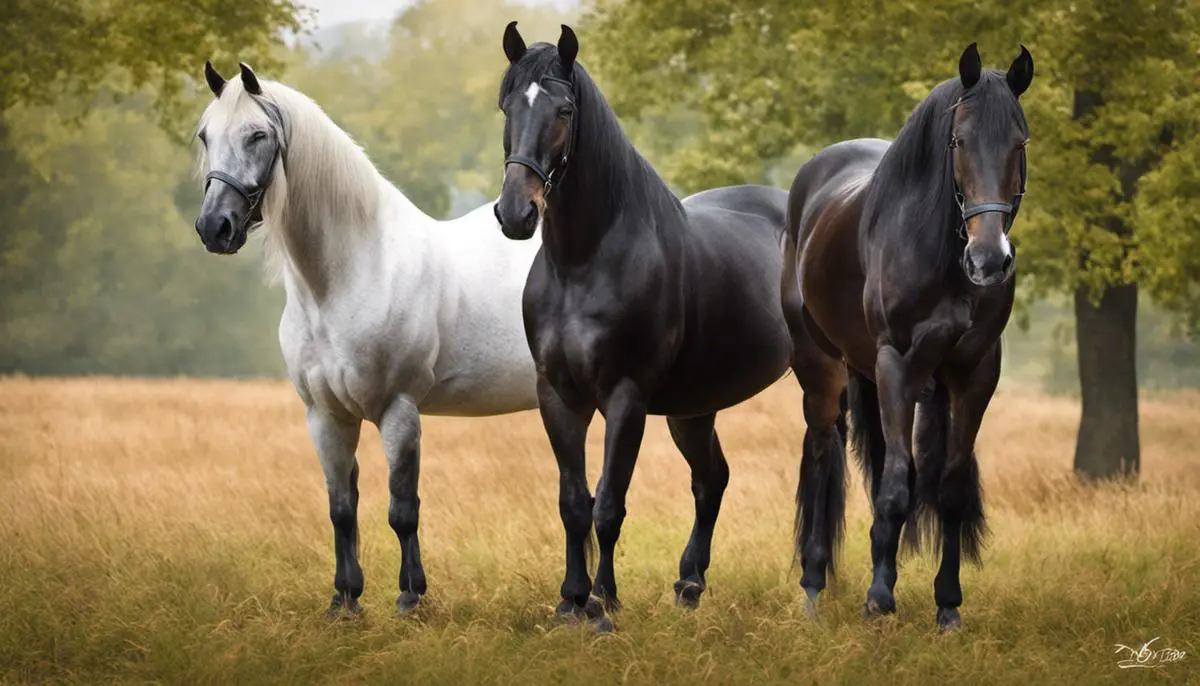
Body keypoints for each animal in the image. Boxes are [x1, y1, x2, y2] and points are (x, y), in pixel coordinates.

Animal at [193, 62, 540, 614]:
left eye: (257, 135)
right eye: (206, 136)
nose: (214, 227)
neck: (350, 272)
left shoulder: (398, 410)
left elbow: (403, 508)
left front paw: (411, 597)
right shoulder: (326, 416)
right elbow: (341, 508)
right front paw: (346, 601)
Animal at [492, 22, 801, 633]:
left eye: (564, 110)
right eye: (507, 105)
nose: (516, 213)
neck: (584, 262)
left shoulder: (625, 397)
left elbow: (609, 503)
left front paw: (603, 605)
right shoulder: (556, 396)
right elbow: (574, 503)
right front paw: (570, 601)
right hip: (694, 406)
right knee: (712, 479)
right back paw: (689, 584)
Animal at [782, 44, 1036, 633]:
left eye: (1019, 143)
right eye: (959, 141)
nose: (989, 261)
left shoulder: (973, 374)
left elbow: (949, 489)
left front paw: (948, 605)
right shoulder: (896, 363)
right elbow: (897, 486)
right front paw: (879, 598)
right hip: (824, 370)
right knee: (824, 455)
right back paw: (814, 584)